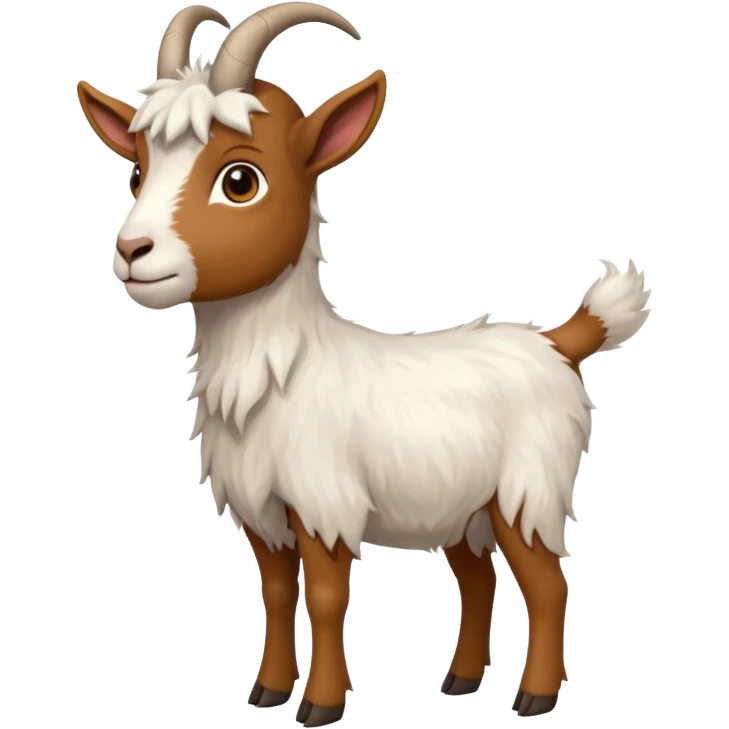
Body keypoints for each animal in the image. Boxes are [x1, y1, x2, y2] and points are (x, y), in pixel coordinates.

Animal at [76, 2, 654, 725]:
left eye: (240, 180)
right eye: (136, 171)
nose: (132, 252)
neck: (283, 369)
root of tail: (558, 340)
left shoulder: (324, 501)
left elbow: (325, 599)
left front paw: (319, 704)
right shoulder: (263, 510)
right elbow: (276, 594)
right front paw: (266, 691)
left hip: (529, 489)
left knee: (548, 584)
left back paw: (535, 695)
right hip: (461, 506)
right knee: (477, 578)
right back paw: (459, 680)